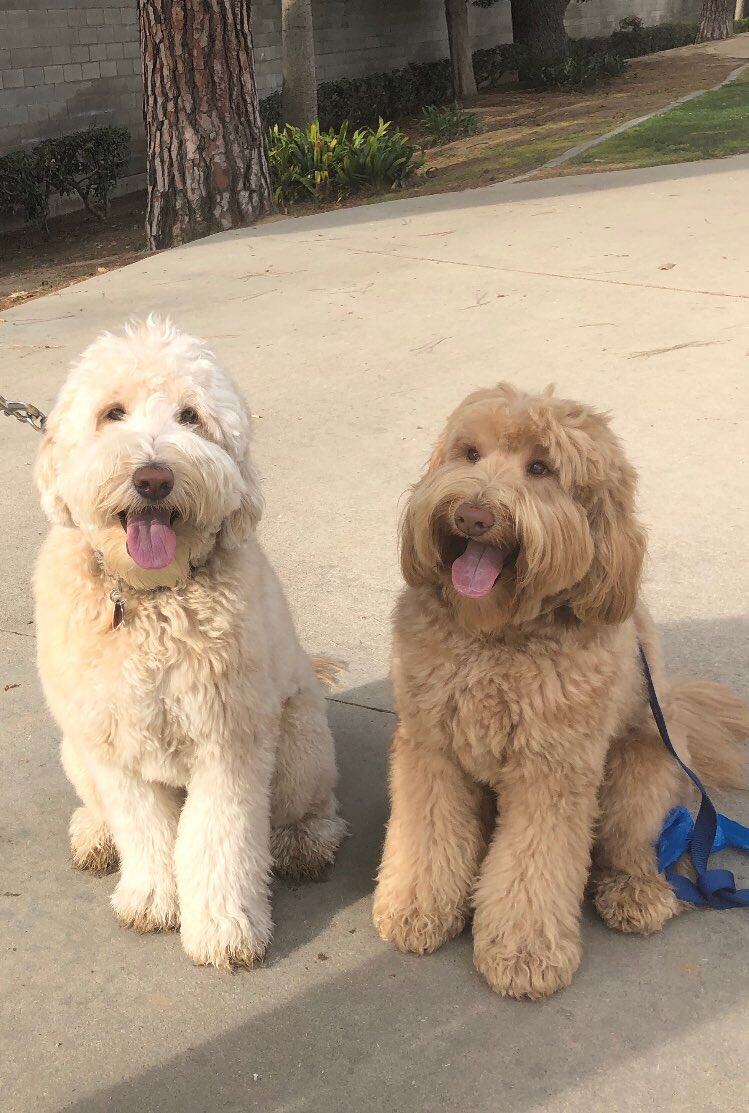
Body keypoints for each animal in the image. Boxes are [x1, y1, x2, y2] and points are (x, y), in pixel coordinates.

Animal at [34, 318, 345, 970]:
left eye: (190, 417)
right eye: (112, 413)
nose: (154, 477)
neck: (151, 599)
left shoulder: (229, 739)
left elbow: (218, 838)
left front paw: (224, 928)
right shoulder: (111, 741)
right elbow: (142, 827)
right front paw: (152, 898)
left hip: (300, 740)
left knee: (311, 809)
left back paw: (304, 842)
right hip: (75, 752)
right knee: (101, 809)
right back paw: (95, 834)